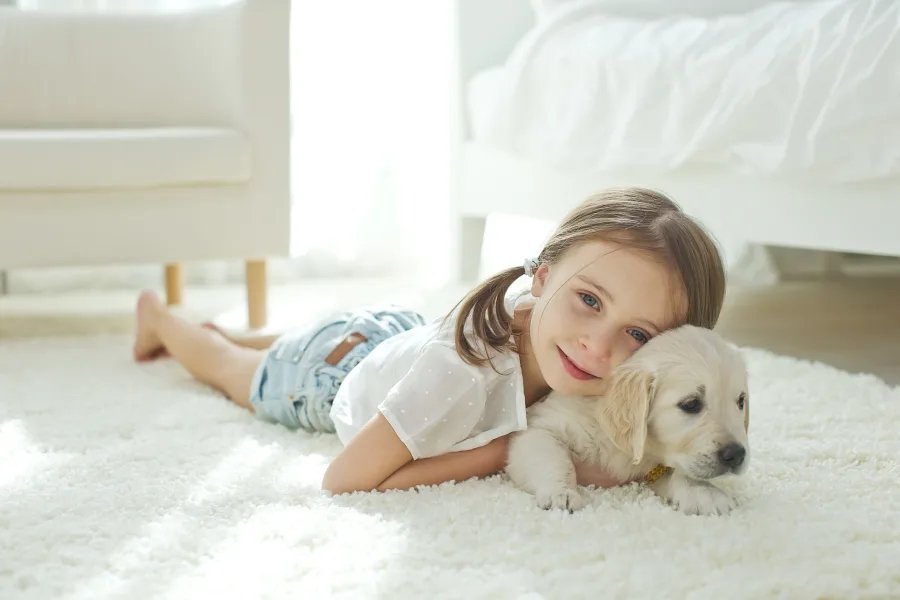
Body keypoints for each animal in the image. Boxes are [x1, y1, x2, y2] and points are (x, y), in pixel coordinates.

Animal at [506, 324, 752, 516]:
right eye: (691, 404)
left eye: (740, 401)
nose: (737, 454)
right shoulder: (541, 426)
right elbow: (554, 458)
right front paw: (561, 492)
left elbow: (678, 472)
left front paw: (703, 491)